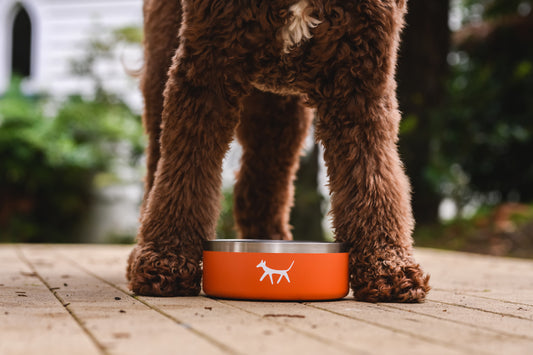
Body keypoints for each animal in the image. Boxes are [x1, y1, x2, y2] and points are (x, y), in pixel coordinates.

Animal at [127, 0, 430, 304]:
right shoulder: (206, 68)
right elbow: (185, 170)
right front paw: (168, 258)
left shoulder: (360, 80)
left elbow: (374, 177)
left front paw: (386, 266)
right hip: (163, 62)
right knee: (157, 165)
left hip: (279, 111)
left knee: (260, 185)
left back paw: (272, 239)